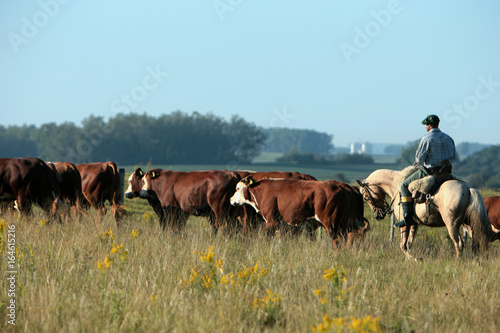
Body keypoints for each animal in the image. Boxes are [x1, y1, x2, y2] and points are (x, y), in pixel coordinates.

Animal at [229, 176, 368, 246]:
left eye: (237, 188)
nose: (231, 199)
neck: (263, 191)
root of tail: (343, 186)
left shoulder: (272, 221)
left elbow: (265, 236)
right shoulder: (283, 225)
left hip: (331, 223)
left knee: (337, 240)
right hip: (346, 223)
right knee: (348, 238)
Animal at [356, 165, 492, 260]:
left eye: (366, 197)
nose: (377, 215)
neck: (395, 186)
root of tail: (468, 189)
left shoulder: (405, 225)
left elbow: (402, 245)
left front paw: (415, 259)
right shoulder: (414, 224)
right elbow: (409, 244)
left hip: (452, 224)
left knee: (459, 244)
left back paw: (457, 263)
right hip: (468, 224)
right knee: (476, 242)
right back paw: (476, 263)